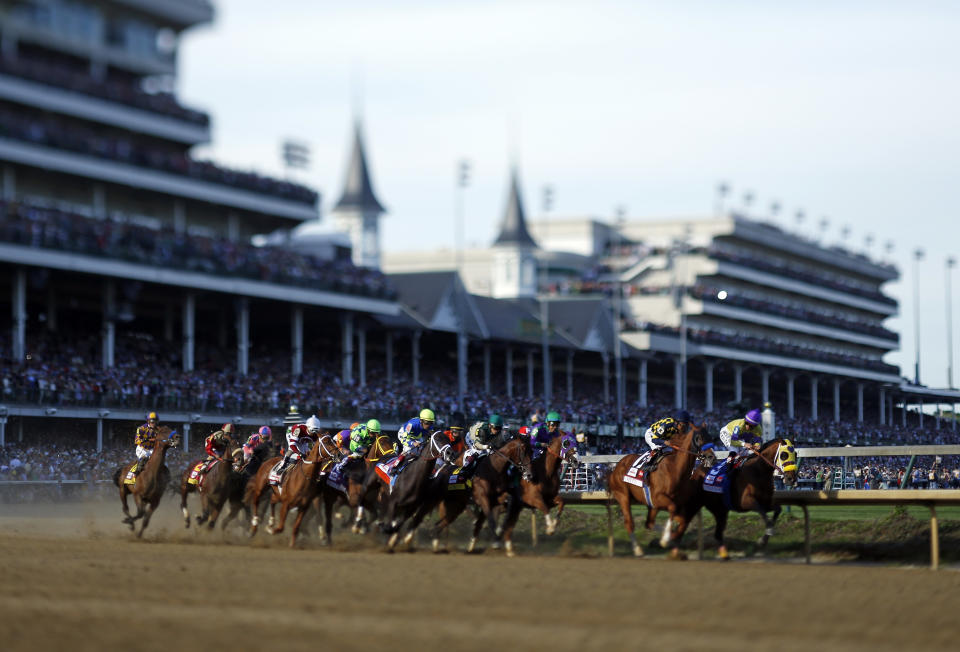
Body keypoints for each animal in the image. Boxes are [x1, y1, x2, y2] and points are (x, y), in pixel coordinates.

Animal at [608, 426, 704, 556]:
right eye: (698, 439)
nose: (711, 456)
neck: (675, 468)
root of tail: (615, 468)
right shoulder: (658, 499)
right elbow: (672, 509)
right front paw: (665, 539)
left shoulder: (664, 504)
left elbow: (682, 520)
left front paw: (670, 537)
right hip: (623, 496)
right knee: (629, 523)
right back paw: (638, 549)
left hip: (648, 504)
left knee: (649, 523)